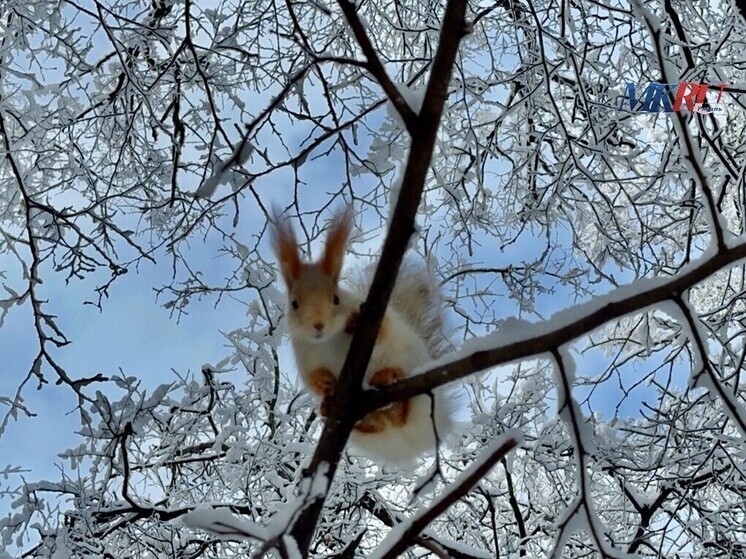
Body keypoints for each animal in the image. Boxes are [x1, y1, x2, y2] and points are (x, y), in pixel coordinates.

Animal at [270, 208, 450, 466]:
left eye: (336, 298)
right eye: (294, 304)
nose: (318, 325)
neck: (328, 340)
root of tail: (412, 441)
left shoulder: (376, 318)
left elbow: (382, 329)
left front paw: (354, 321)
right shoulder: (305, 355)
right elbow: (313, 376)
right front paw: (324, 383)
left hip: (415, 379)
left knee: (403, 410)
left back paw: (389, 377)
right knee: (379, 425)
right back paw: (337, 411)